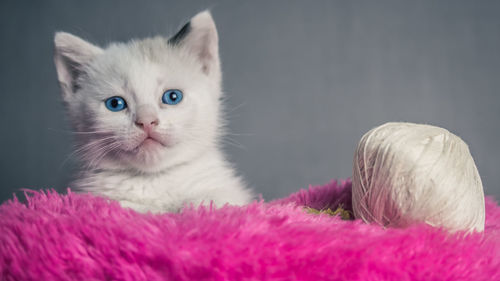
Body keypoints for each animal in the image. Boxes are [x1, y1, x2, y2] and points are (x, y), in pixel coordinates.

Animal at [53, 10, 254, 212]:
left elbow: (214, 202)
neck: (154, 179)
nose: (147, 121)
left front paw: (196, 207)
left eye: (172, 97)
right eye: (115, 104)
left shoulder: (229, 191)